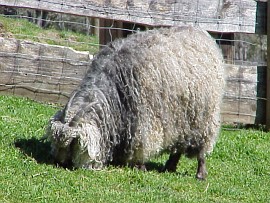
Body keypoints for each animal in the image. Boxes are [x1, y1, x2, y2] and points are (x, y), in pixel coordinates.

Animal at [46, 26, 224, 180]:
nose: (58, 163)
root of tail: (202, 33)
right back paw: (169, 166)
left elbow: (141, 144)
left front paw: (140, 166)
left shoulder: (144, 119)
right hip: (182, 120)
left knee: (202, 146)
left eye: (72, 143)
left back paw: (200, 173)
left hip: (203, 118)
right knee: (179, 145)